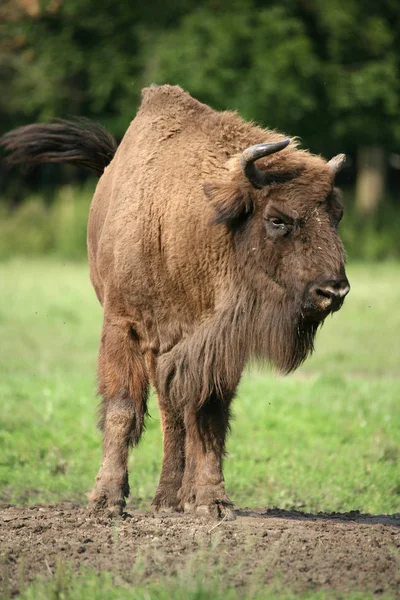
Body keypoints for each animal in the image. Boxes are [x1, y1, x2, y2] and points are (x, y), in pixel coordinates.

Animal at [0, 84, 350, 520]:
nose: (333, 291)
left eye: (337, 215)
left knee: (179, 413)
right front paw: (105, 501)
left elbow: (210, 414)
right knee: (167, 412)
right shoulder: (124, 327)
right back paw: (165, 499)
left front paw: (213, 501)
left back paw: (175, 498)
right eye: (278, 219)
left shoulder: (216, 346)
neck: (191, 227)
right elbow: (122, 409)